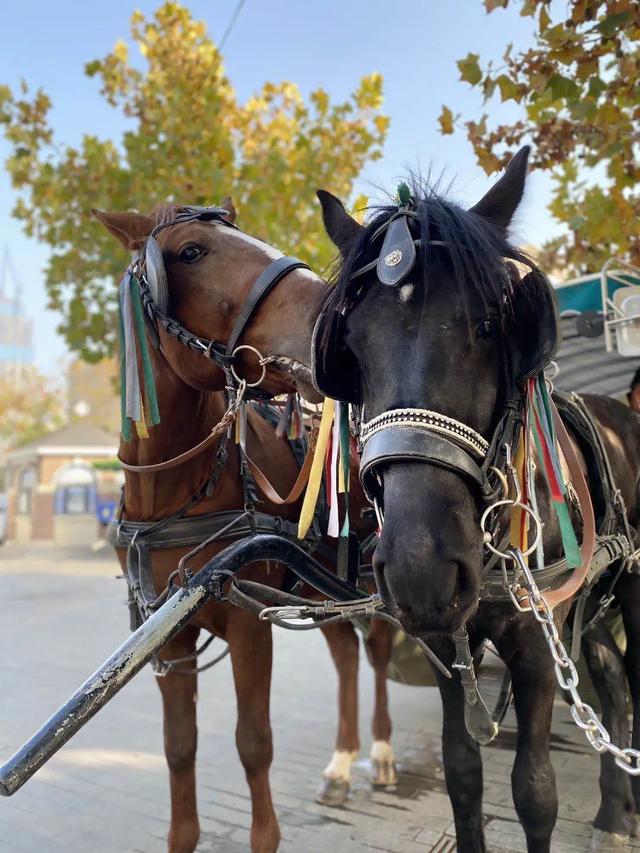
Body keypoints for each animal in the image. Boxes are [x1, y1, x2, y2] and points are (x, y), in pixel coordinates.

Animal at [93, 201, 398, 852]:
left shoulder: (247, 624)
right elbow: (178, 749)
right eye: (190, 251)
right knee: (345, 655)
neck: (174, 495)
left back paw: (382, 755)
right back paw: (341, 765)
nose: (338, 322)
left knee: (380, 650)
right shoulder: (167, 634)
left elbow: (253, 743)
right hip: (319, 586)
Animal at [314, 150, 640, 848]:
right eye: (350, 347)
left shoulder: (538, 646)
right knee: (612, 683)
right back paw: (612, 811)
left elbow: (535, 794)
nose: (420, 569)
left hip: (628, 586)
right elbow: (462, 773)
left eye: (491, 325)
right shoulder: (445, 647)